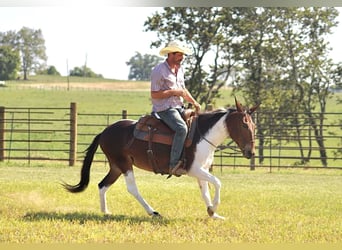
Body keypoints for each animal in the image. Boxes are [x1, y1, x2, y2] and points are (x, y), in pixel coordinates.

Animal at [63, 97, 260, 219]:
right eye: (244, 125)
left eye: (254, 125)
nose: (251, 152)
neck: (202, 135)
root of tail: (105, 131)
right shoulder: (194, 169)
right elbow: (218, 183)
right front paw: (214, 208)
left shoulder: (201, 170)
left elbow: (205, 191)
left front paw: (213, 213)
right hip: (124, 164)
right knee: (132, 188)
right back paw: (153, 212)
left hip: (116, 166)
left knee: (102, 185)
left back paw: (106, 212)